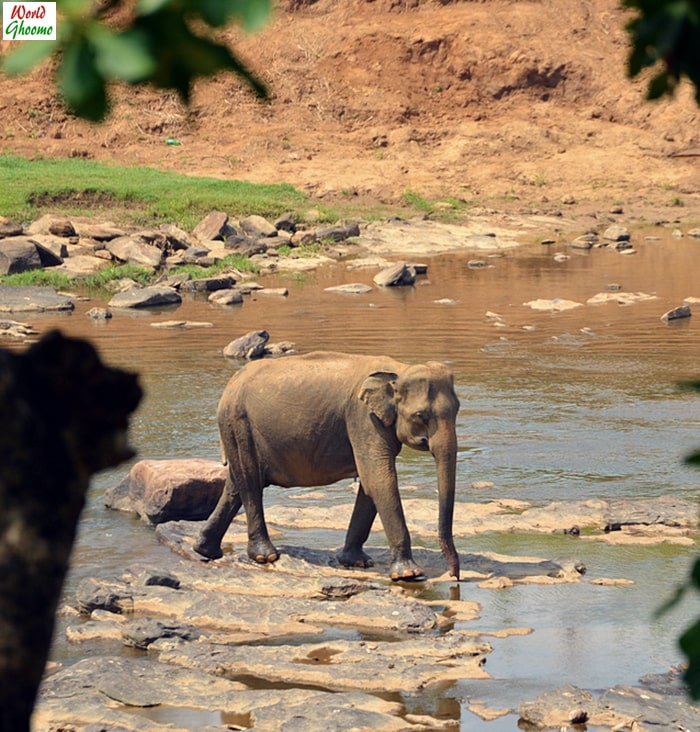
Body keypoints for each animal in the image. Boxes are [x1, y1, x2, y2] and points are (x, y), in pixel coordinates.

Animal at [194, 352, 462, 580]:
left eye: (458, 410)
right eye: (420, 416)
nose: (454, 576)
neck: (399, 369)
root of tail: (232, 382)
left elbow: (370, 483)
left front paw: (357, 562)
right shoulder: (363, 418)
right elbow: (379, 479)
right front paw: (409, 574)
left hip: (236, 428)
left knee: (236, 483)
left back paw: (204, 550)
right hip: (237, 422)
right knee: (249, 482)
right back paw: (265, 556)